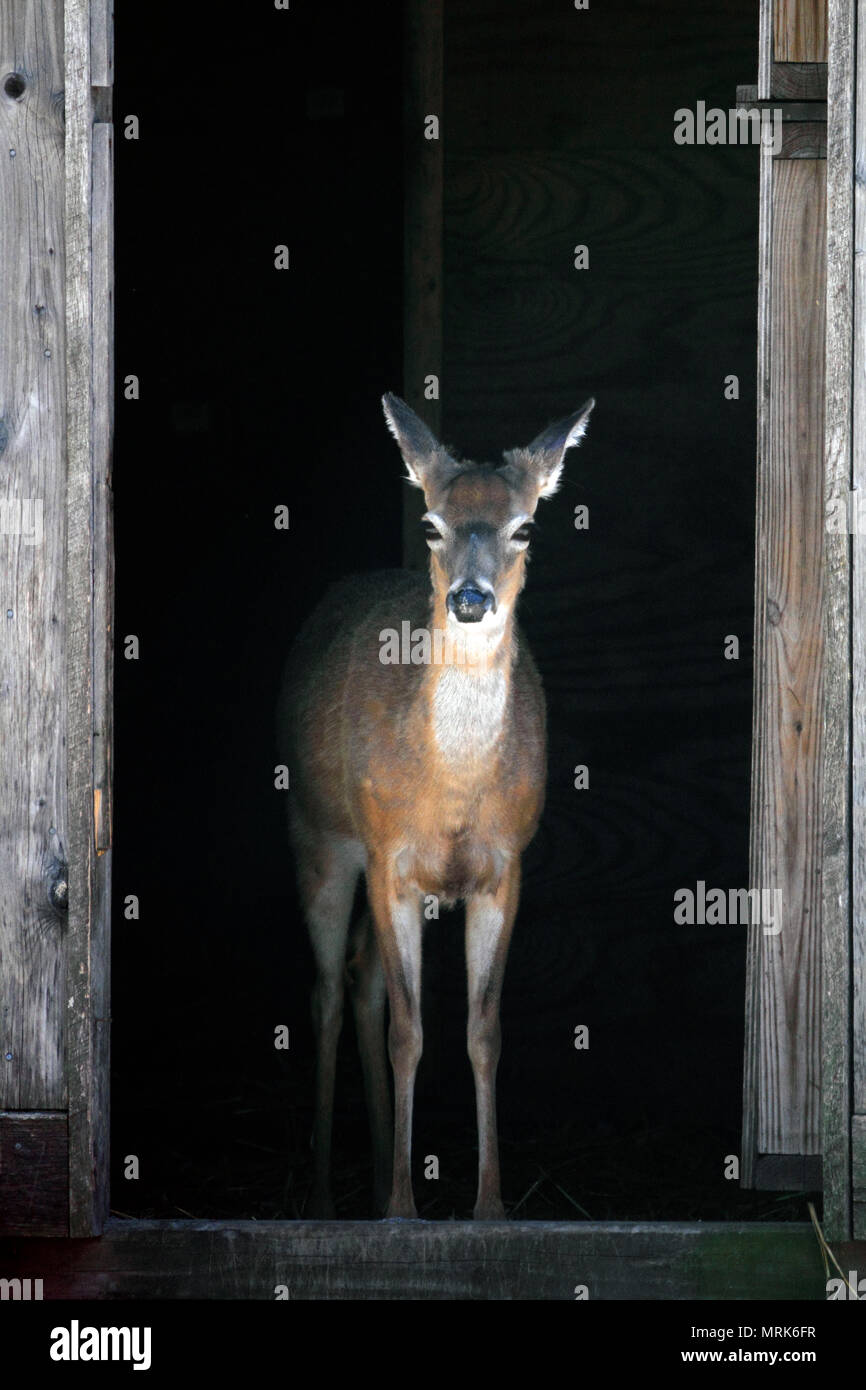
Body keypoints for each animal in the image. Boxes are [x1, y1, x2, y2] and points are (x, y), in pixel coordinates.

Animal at [278, 392, 594, 1219]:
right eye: (431, 522)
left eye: (525, 526)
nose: (471, 598)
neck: (448, 793)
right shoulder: (391, 857)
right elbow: (408, 1032)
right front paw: (399, 1213)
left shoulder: (505, 866)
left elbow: (483, 1031)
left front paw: (489, 1208)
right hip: (319, 836)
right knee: (328, 990)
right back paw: (323, 1198)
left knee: (359, 978)